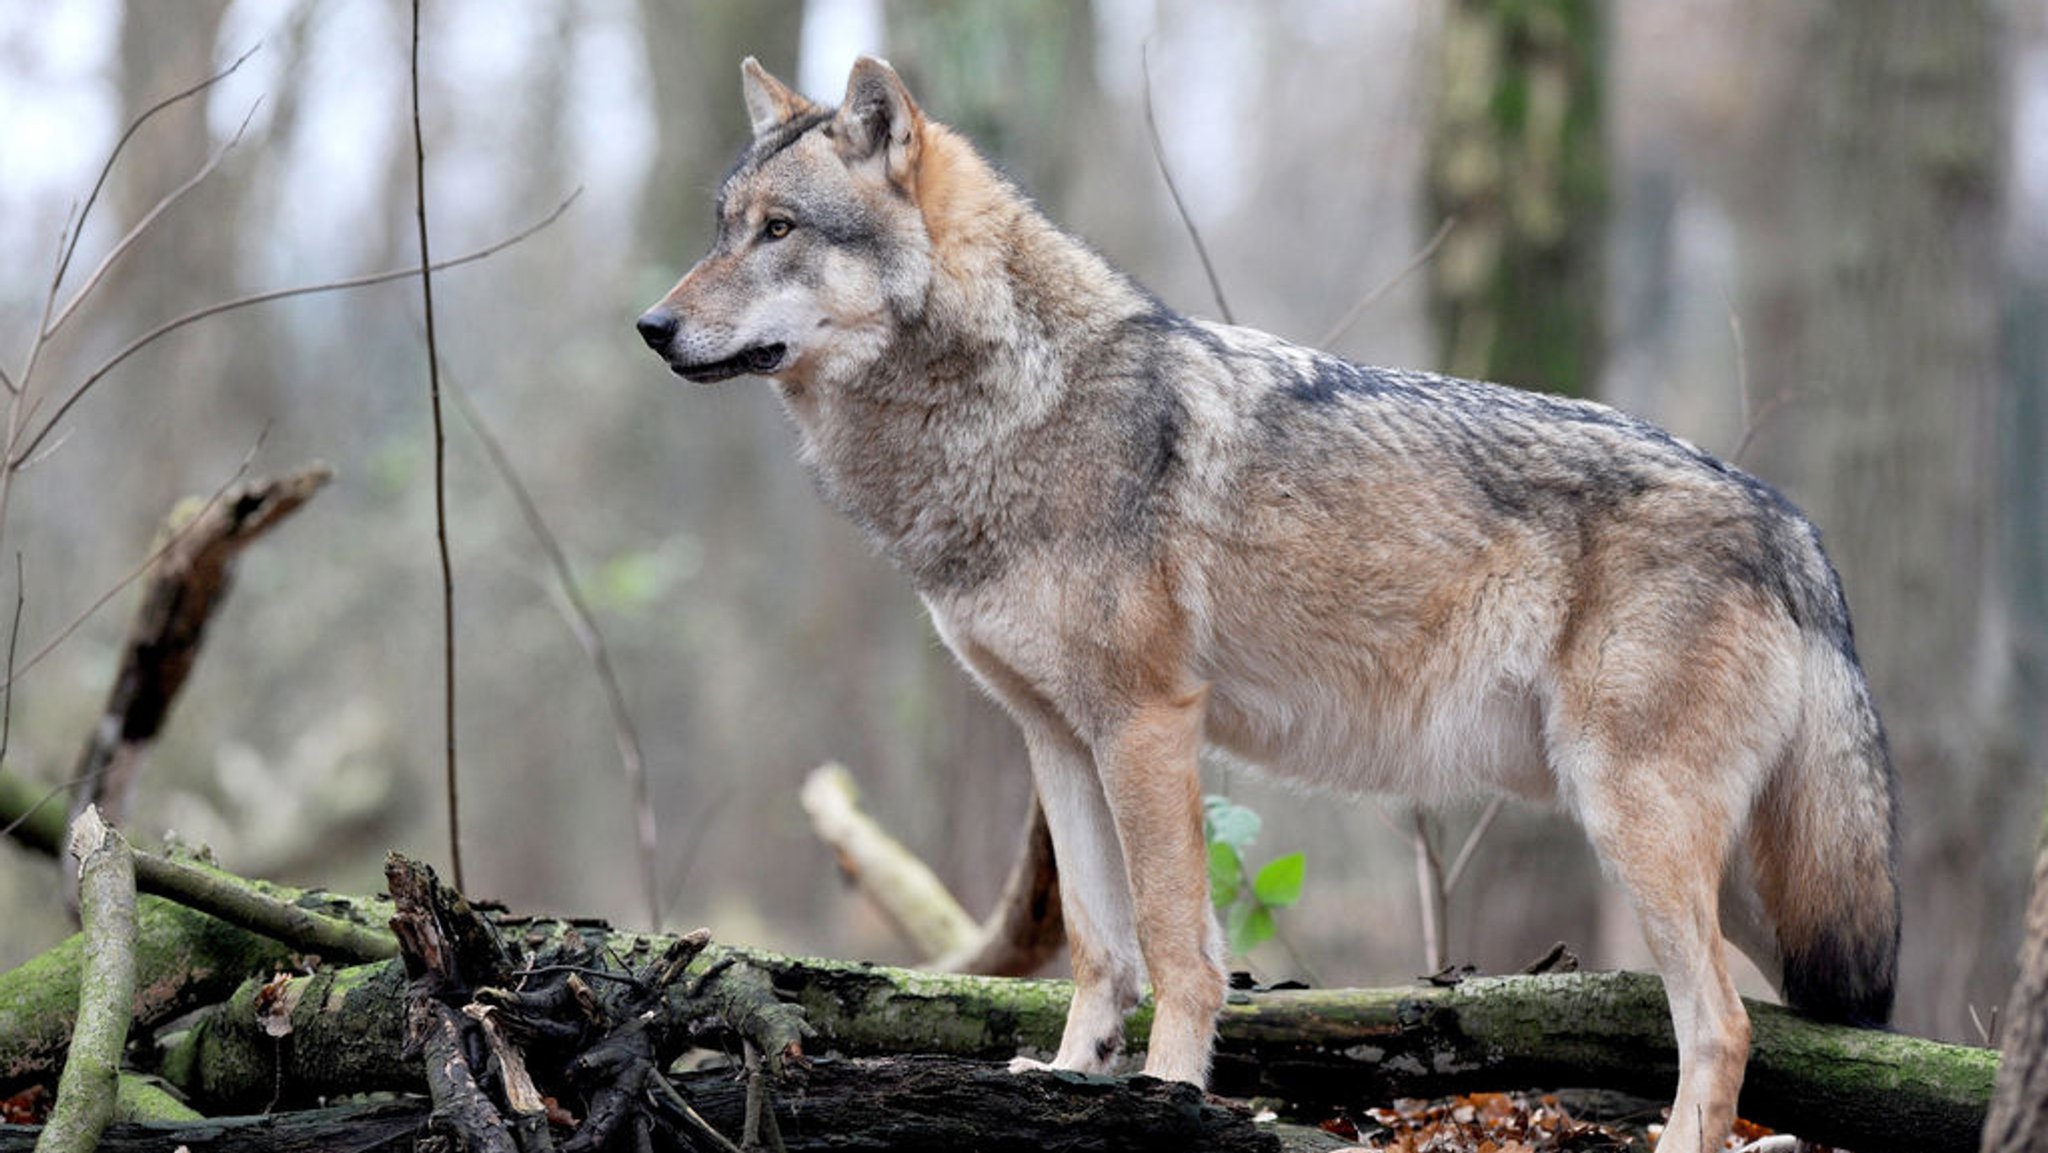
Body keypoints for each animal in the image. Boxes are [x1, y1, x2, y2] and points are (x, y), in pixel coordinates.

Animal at [630, 56, 1892, 1153]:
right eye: (720, 227)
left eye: (779, 230)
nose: (650, 326)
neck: (1010, 410)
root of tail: (1794, 524)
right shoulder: (1057, 737)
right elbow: (1096, 947)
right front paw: (1070, 1080)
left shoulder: (1147, 723)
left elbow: (1174, 946)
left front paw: (1166, 1093)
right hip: (1725, 868)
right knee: (1764, 1019)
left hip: (1635, 821)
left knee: (1719, 1026)